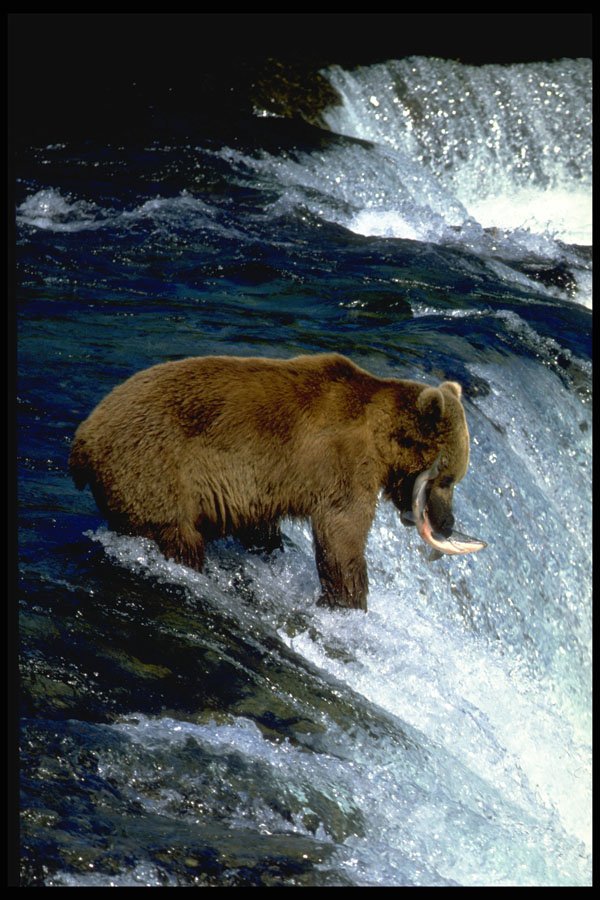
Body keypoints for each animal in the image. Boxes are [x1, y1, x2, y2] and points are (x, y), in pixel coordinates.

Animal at [69, 353, 470, 611]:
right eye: (446, 480)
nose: (447, 524)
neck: (381, 439)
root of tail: (82, 438)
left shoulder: (260, 489)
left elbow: (264, 529)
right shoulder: (343, 467)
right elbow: (342, 534)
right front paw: (348, 600)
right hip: (156, 469)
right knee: (180, 538)